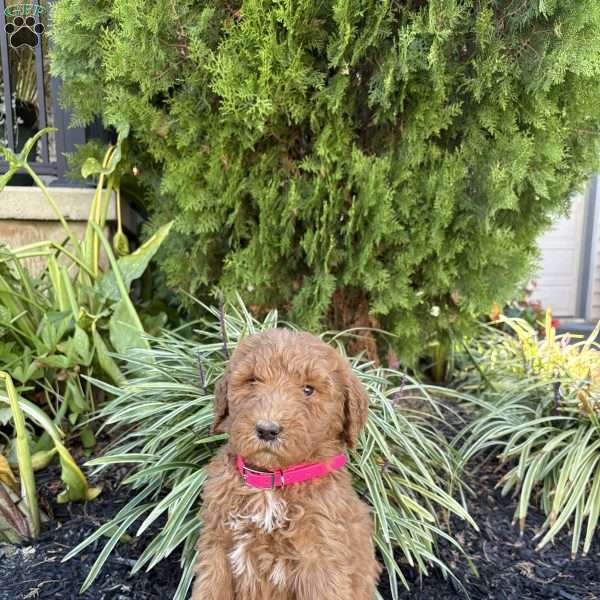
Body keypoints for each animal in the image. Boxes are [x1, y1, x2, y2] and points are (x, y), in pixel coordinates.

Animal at [192, 328, 380, 600]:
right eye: (252, 381)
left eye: (308, 390)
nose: (267, 430)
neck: (271, 483)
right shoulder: (216, 546)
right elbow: (210, 590)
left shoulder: (321, 560)